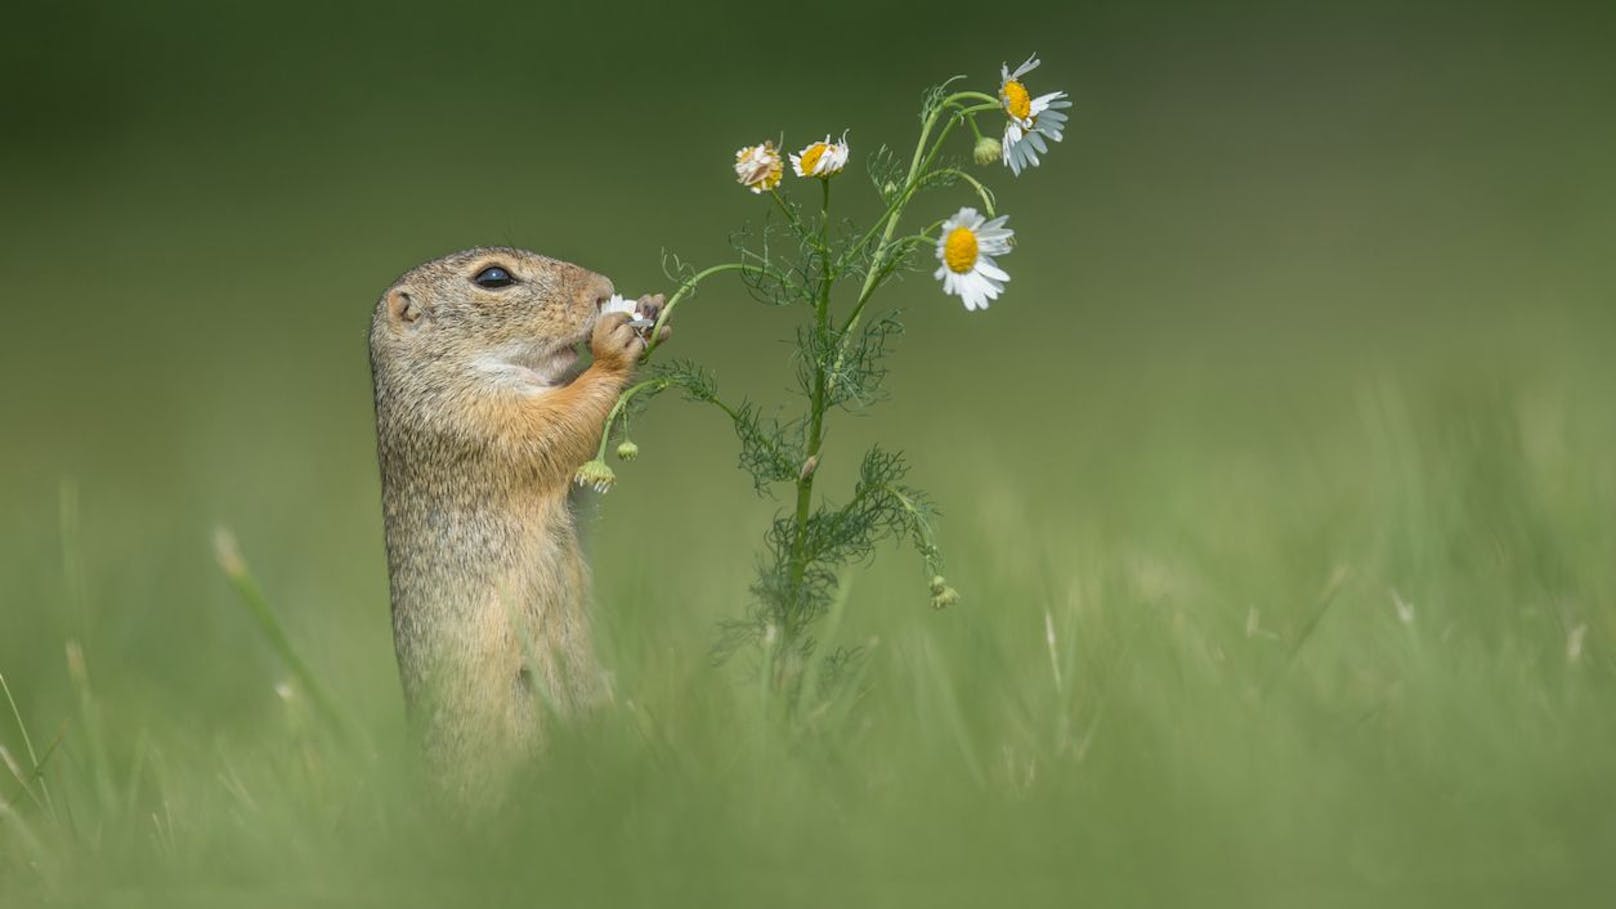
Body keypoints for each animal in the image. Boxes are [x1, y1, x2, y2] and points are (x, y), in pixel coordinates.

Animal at [370, 244, 665, 789]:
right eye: (494, 278)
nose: (601, 288)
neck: (437, 376)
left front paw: (653, 307)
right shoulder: (476, 425)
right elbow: (559, 426)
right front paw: (614, 343)